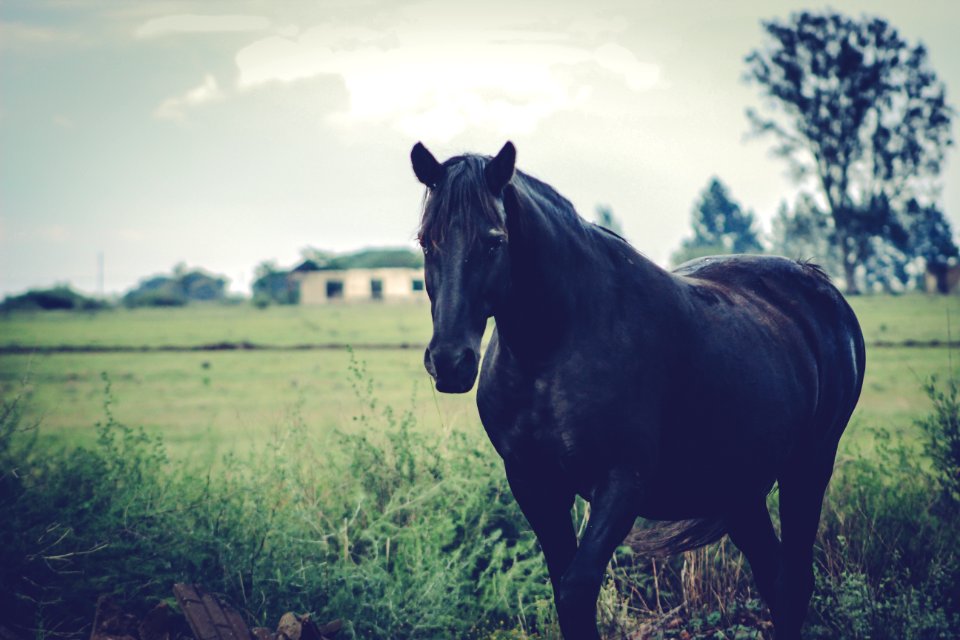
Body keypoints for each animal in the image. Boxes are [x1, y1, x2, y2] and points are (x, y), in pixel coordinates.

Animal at [408, 142, 868, 636]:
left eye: (494, 240)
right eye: (426, 240)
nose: (449, 361)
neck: (554, 348)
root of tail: (817, 282)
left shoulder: (621, 483)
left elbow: (576, 591)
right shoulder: (534, 482)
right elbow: (564, 589)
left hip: (808, 467)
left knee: (794, 583)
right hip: (741, 487)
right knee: (774, 579)